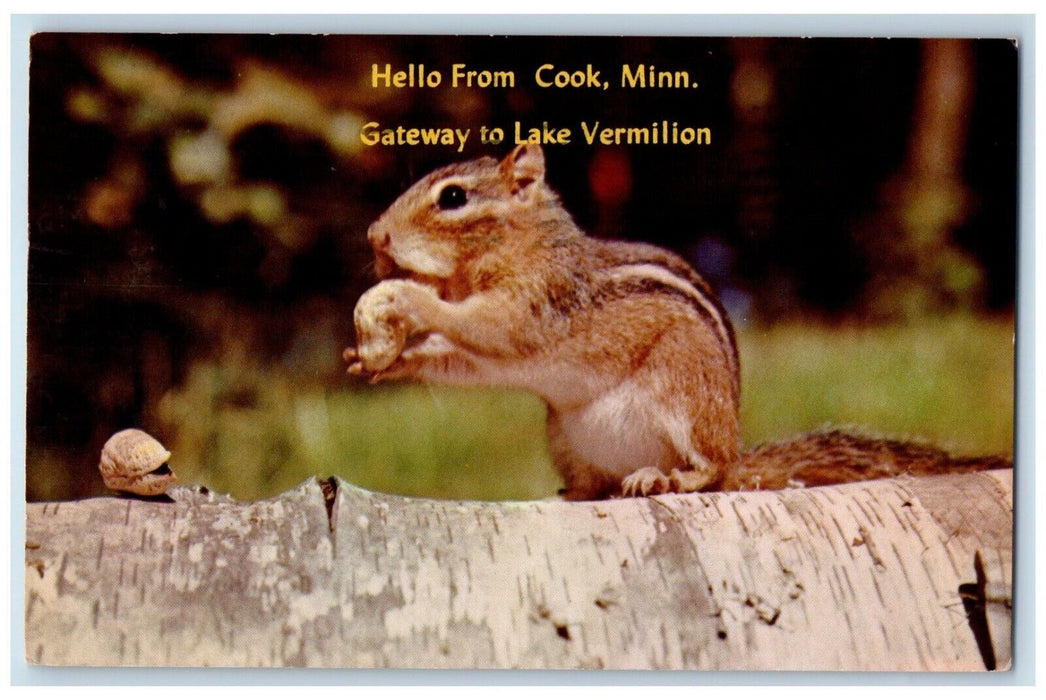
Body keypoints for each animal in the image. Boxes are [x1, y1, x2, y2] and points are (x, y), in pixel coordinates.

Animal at [343, 144, 1011, 500]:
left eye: (453, 198)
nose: (374, 236)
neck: (523, 248)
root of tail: (738, 451)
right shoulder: (491, 353)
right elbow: (456, 357)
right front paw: (376, 359)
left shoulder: (532, 306)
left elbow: (481, 324)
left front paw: (405, 299)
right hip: (564, 434)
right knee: (599, 483)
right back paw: (583, 488)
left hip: (684, 394)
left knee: (711, 470)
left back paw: (667, 480)